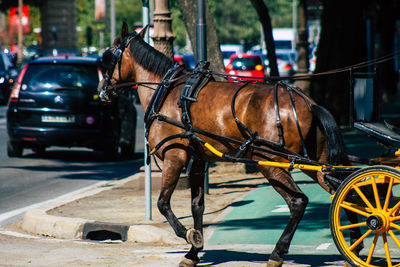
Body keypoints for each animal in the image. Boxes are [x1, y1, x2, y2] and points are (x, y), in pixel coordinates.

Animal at [99, 22, 350, 266]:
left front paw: (189, 235)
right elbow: (197, 205)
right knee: (344, 191)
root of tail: (306, 102)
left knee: (298, 202)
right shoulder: (198, 161)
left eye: (108, 57)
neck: (167, 91)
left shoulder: (174, 157)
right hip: (316, 162)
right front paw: (193, 253)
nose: (101, 90)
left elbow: (163, 204)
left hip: (270, 163)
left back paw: (278, 253)